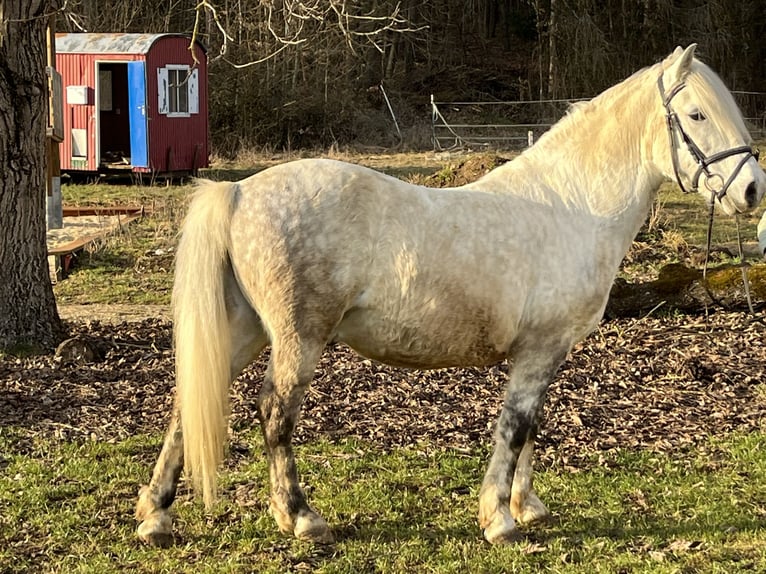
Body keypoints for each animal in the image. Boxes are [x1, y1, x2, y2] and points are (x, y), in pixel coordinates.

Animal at [135, 45, 765, 547]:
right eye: (696, 113)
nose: (753, 190)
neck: (572, 205)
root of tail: (239, 191)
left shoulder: (543, 354)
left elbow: (531, 426)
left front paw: (526, 507)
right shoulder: (540, 349)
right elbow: (515, 427)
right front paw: (499, 520)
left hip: (243, 329)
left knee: (188, 399)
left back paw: (156, 515)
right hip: (298, 338)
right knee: (274, 412)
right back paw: (301, 517)